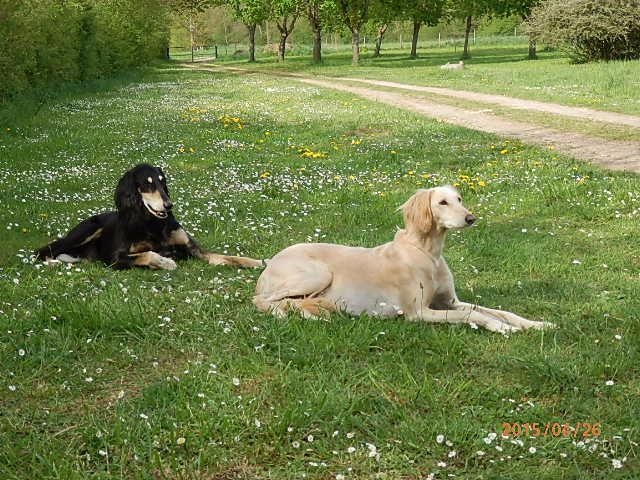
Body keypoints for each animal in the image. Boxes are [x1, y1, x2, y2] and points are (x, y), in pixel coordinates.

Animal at [33, 164, 260, 270]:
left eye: (162, 181)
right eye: (148, 183)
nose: (169, 205)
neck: (152, 223)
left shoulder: (194, 249)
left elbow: (226, 256)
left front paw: (254, 261)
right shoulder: (115, 258)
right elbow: (149, 254)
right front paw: (165, 262)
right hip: (86, 230)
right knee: (44, 250)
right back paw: (53, 263)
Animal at [252, 187, 552, 334]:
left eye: (459, 198)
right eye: (442, 202)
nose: (471, 218)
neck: (428, 254)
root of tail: (270, 261)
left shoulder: (449, 301)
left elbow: (498, 310)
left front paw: (536, 324)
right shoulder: (418, 312)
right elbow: (473, 314)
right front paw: (501, 327)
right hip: (317, 273)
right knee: (263, 301)